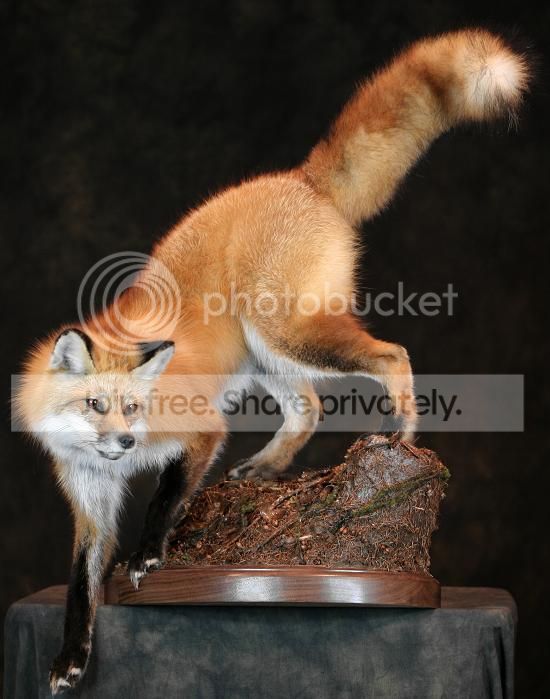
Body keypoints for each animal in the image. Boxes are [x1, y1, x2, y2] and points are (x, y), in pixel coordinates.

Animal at [15, 30, 529, 693]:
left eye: (133, 406)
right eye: (94, 404)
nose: (126, 444)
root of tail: (298, 178)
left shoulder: (200, 430)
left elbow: (163, 497)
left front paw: (150, 552)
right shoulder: (90, 500)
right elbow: (81, 586)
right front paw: (71, 658)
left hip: (286, 331)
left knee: (393, 355)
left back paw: (400, 437)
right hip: (266, 356)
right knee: (308, 408)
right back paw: (267, 467)